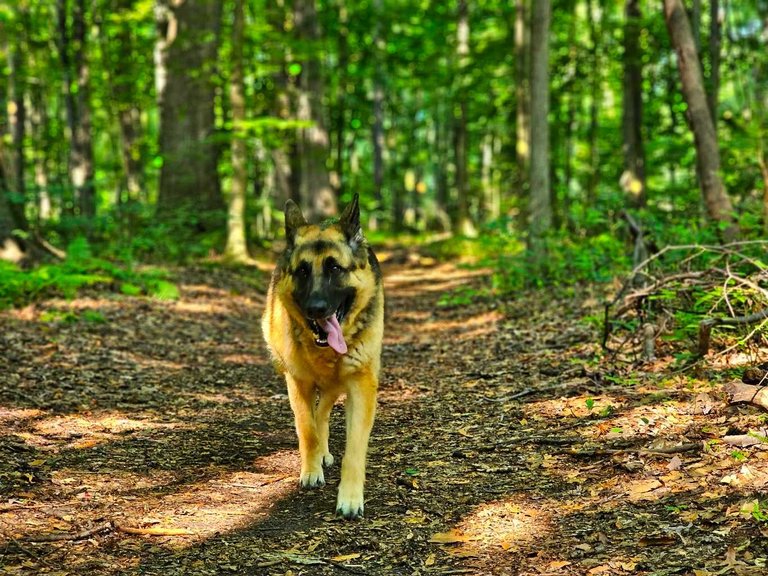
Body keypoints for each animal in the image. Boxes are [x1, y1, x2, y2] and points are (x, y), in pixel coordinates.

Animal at [262, 194, 384, 519]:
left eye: (335, 268)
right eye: (303, 270)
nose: (316, 308)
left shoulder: (360, 386)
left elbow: (354, 448)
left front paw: (350, 498)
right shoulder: (298, 382)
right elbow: (307, 428)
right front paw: (311, 469)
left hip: (336, 385)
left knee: (324, 411)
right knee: (316, 418)